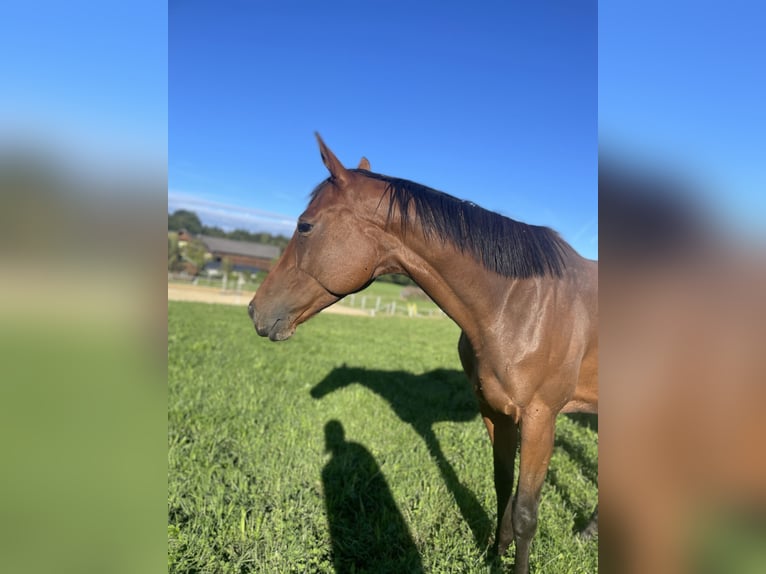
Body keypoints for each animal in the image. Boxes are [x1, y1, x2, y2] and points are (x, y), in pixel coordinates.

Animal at [249, 134, 598, 574]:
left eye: (305, 225)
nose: (255, 311)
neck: (518, 304)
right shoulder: (495, 411)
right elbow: (502, 486)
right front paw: (493, 553)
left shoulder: (540, 419)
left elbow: (525, 512)